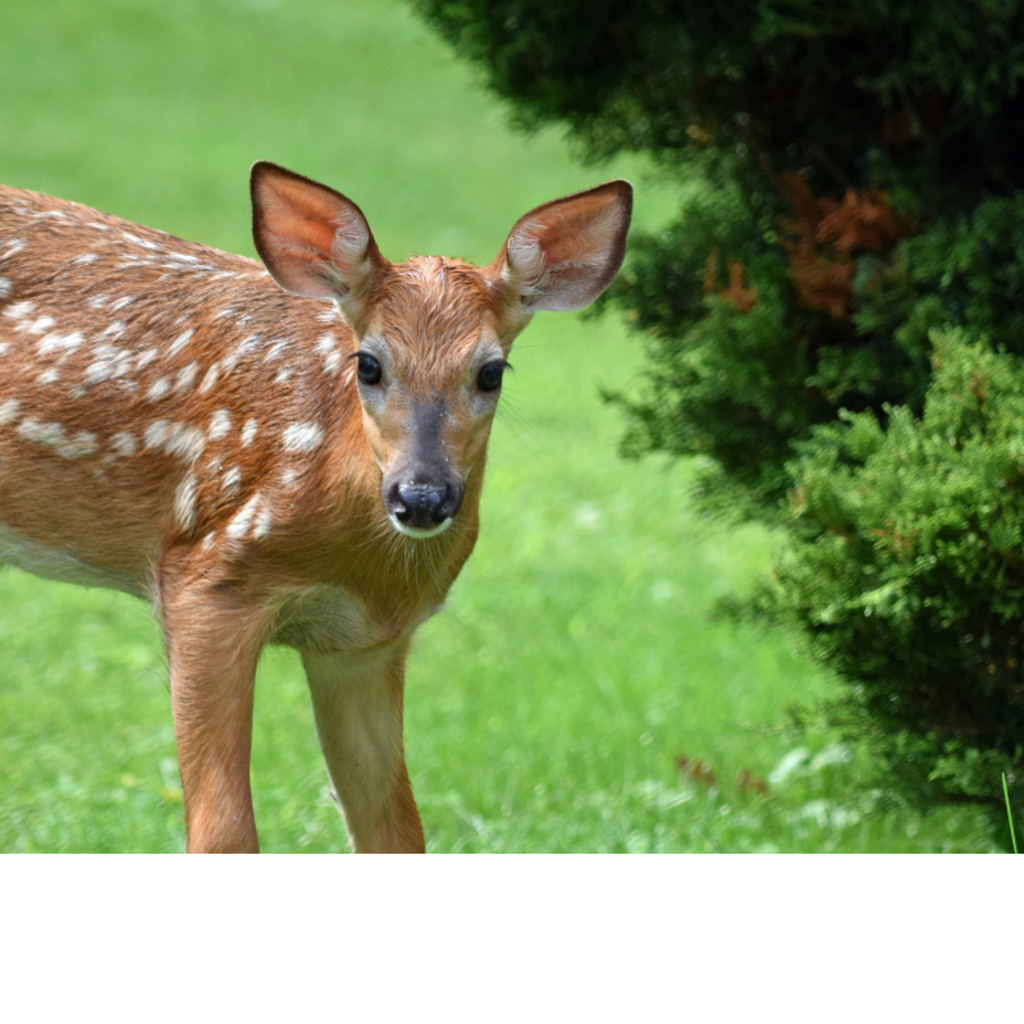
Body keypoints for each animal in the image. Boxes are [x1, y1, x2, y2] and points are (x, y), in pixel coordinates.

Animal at [0, 163, 632, 853]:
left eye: (491, 372)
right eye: (370, 363)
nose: (422, 496)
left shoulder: (362, 643)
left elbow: (395, 832)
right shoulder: (204, 574)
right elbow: (223, 832)